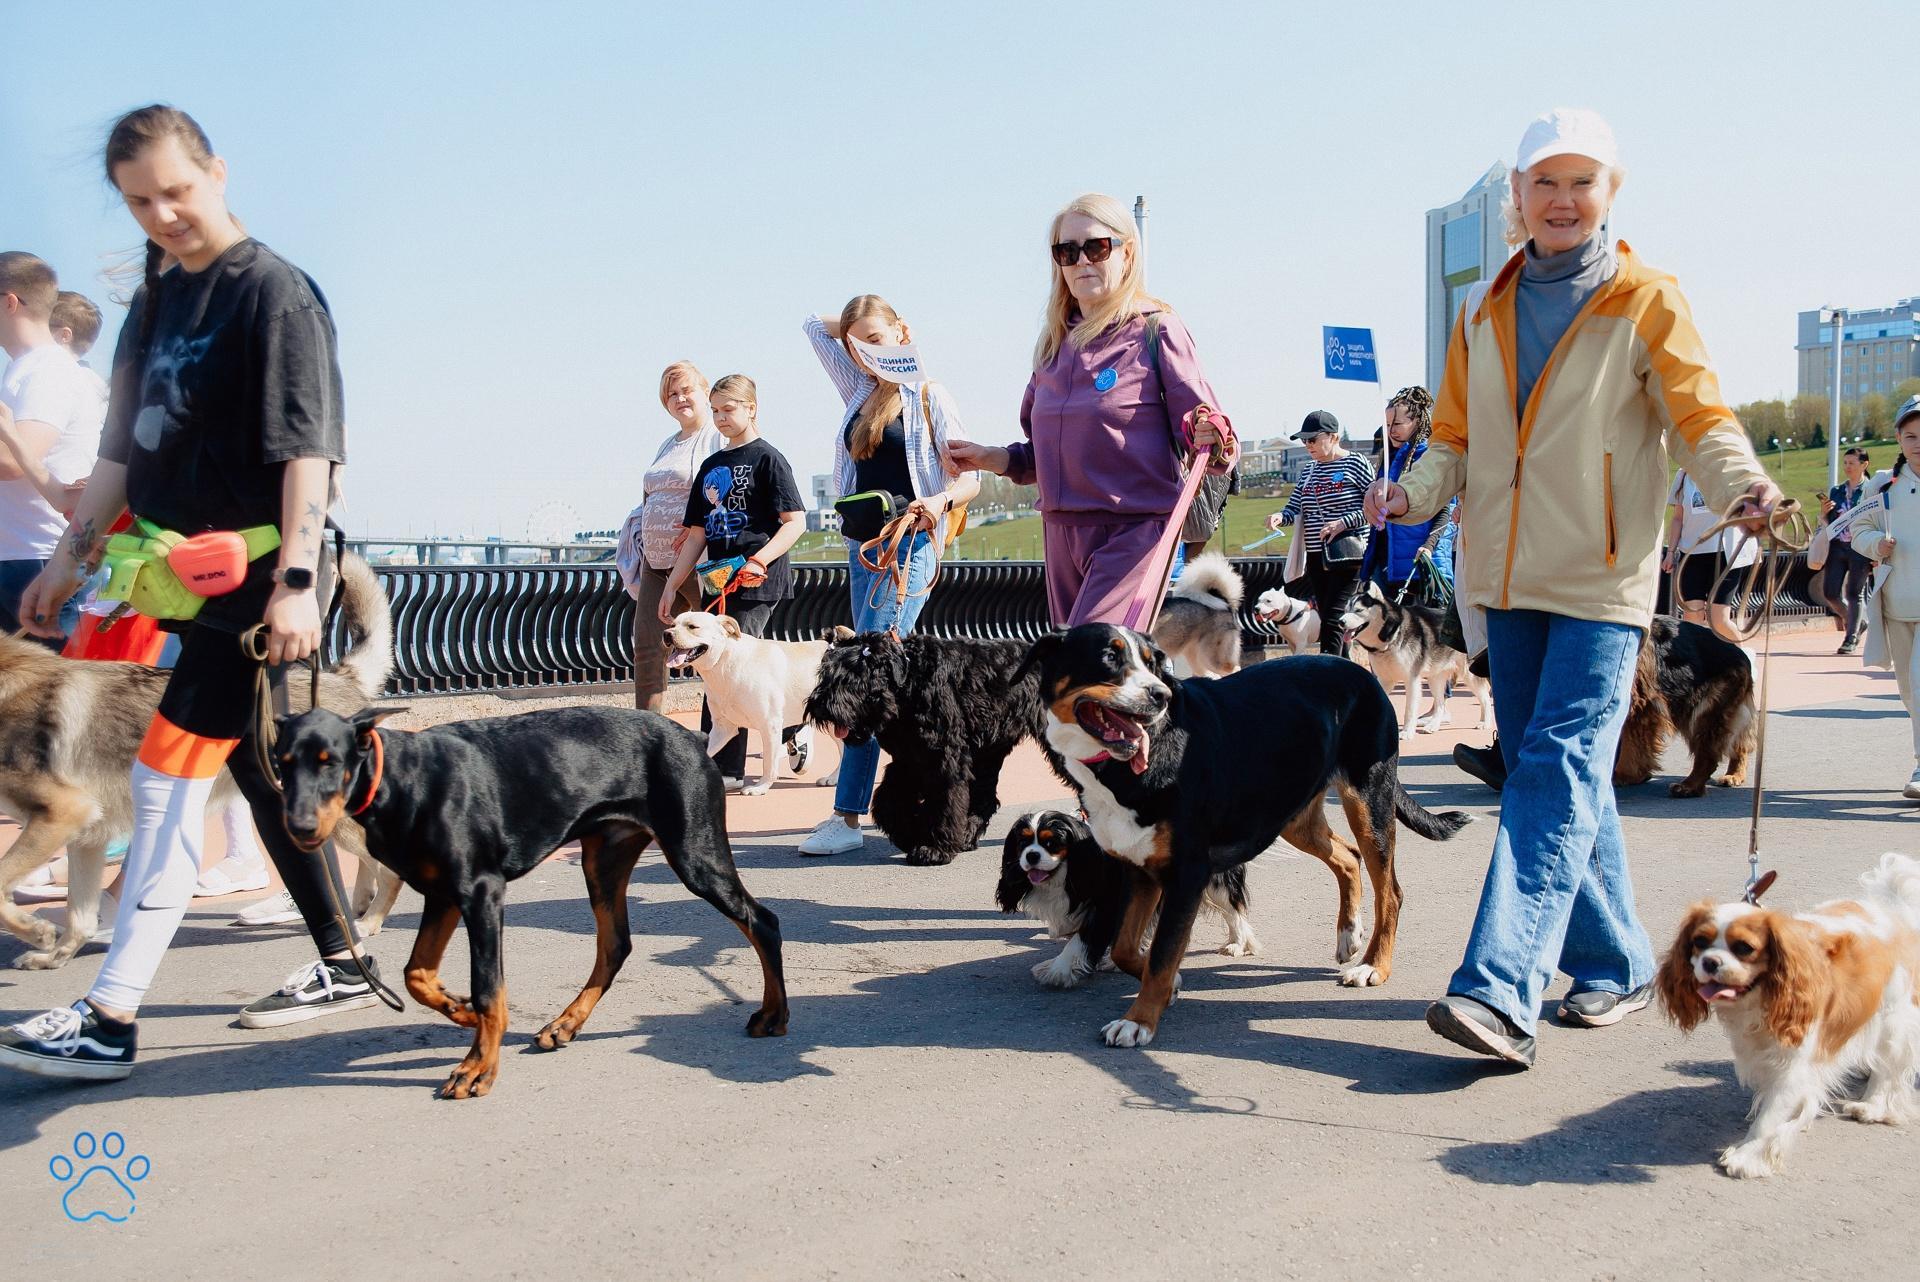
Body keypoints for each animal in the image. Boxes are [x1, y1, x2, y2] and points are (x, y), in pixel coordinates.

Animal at [668, 610, 825, 790]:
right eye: (672, 625)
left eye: (692, 626)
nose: (666, 634)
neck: (723, 662)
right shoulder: (723, 727)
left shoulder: (770, 724)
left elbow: (769, 763)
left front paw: (761, 787)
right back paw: (831, 779)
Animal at [1336, 579, 1482, 740]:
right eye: (1345, 610)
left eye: (1358, 610)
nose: (1340, 622)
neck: (1393, 634)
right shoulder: (1384, 679)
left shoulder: (1412, 680)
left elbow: (1409, 710)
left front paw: (1407, 732)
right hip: (1435, 678)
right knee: (1440, 705)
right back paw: (1432, 726)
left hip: (1468, 674)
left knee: (1485, 698)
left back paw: (1484, 722)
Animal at [1651, 855, 1920, 1174]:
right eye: (1699, 942)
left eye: (1744, 948)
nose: (1710, 962)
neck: (1759, 998)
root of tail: (1891, 909)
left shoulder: (1794, 1064)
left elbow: (1771, 1113)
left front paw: (1748, 1155)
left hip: (1893, 1017)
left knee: (1889, 1066)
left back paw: (1874, 1106)